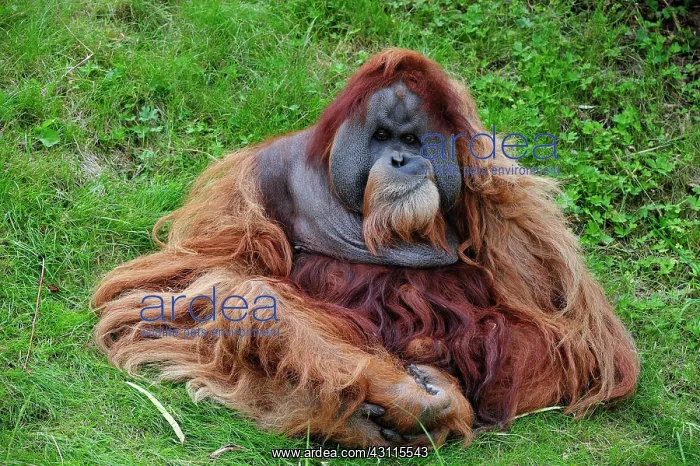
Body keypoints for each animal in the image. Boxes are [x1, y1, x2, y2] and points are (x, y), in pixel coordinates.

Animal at [93, 49, 639, 447]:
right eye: (380, 135)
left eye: (412, 139)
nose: (400, 158)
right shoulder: (257, 177)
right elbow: (190, 280)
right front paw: (406, 392)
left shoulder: (508, 201)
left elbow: (578, 339)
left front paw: (433, 385)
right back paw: (351, 414)